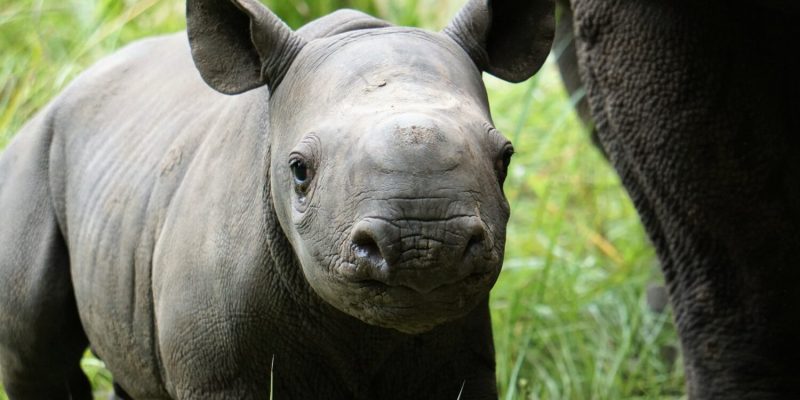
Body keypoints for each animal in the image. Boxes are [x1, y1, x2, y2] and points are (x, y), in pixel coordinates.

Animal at [0, 0, 554, 398]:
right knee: (33, 350)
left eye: (505, 158)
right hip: (31, 155)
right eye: (299, 170)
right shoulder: (216, 373)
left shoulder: (464, 359)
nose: (426, 244)